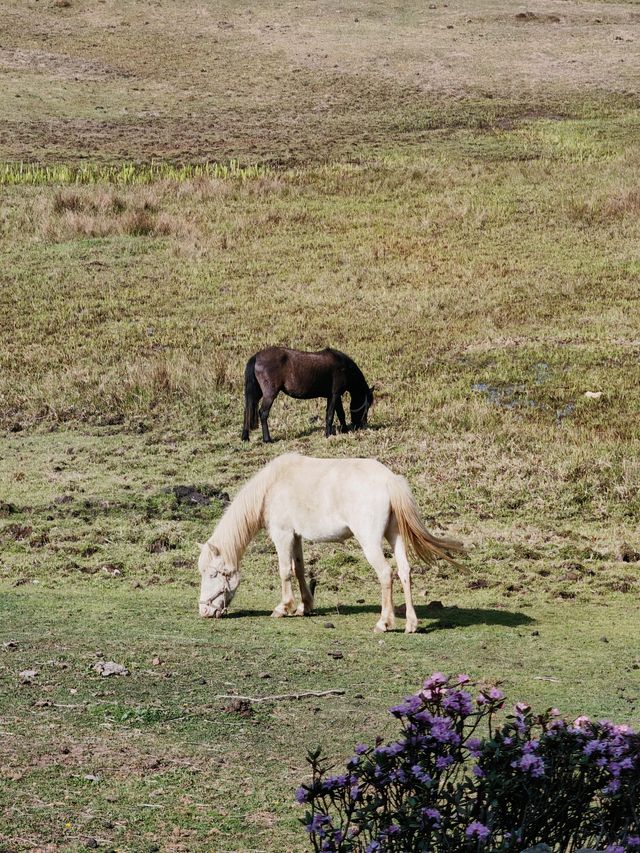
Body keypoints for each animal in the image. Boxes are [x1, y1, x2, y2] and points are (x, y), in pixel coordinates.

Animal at [198, 452, 462, 632]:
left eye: (213, 574)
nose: (203, 611)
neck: (273, 485)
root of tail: (389, 480)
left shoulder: (282, 534)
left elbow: (284, 571)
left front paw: (283, 608)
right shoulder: (296, 535)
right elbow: (299, 569)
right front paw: (305, 606)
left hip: (370, 543)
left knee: (386, 574)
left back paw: (384, 622)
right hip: (394, 536)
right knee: (405, 572)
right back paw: (411, 624)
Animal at [241, 346, 376, 442]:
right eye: (367, 405)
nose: (361, 425)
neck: (343, 366)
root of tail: (257, 356)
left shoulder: (334, 396)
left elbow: (340, 414)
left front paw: (344, 430)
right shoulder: (335, 395)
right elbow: (330, 415)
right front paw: (328, 434)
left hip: (257, 393)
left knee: (247, 410)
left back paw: (245, 437)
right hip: (269, 394)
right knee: (263, 413)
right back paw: (267, 439)